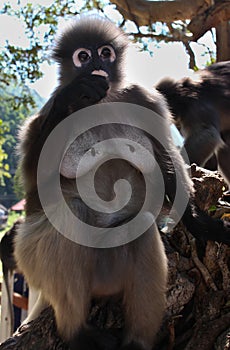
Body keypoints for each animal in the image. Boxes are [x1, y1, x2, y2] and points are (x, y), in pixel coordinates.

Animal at [14, 15, 230, 348]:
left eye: (105, 52)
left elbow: (165, 154)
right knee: (69, 215)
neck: (103, 100)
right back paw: (76, 333)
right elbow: (35, 180)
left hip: (109, 273)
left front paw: (199, 222)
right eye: (83, 56)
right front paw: (72, 96)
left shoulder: (145, 99)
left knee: (139, 227)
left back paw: (135, 341)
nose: (96, 65)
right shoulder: (45, 113)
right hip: (31, 260)